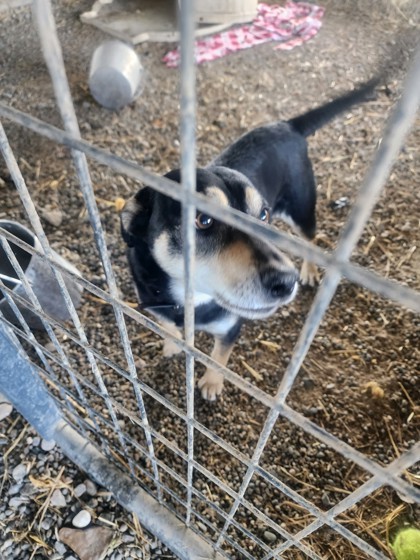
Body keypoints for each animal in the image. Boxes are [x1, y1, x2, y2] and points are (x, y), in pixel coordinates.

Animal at [120, 79, 378, 402]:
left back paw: (308, 269)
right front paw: (172, 346)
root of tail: (285, 125)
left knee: (311, 240)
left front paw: (212, 383)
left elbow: (219, 356)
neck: (187, 301)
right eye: (203, 219)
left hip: (301, 209)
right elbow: (168, 328)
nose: (286, 282)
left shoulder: (229, 327)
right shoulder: (156, 306)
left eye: (263, 215)